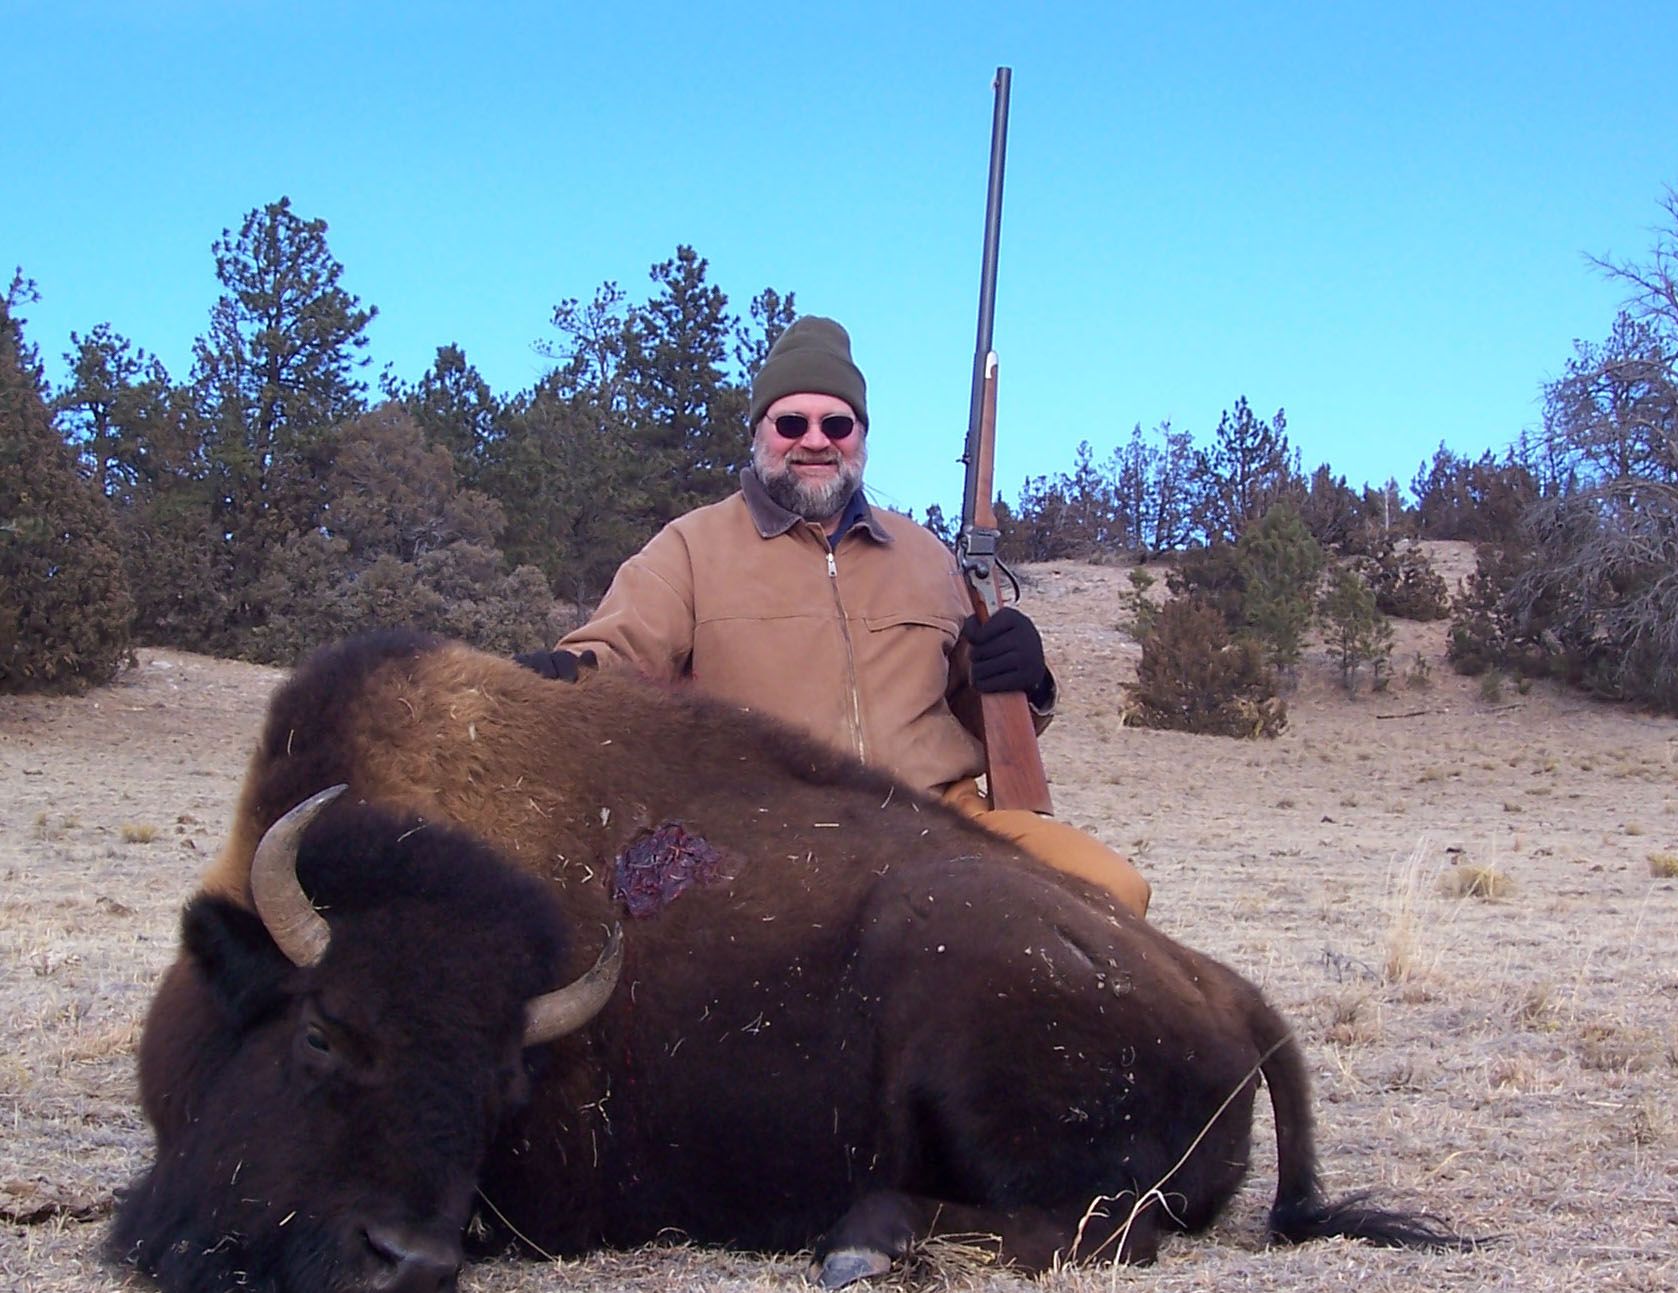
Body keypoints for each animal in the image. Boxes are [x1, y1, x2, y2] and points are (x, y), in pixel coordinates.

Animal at [114, 630, 1469, 1291]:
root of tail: (1235, 995)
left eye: (505, 1084)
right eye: (321, 1031)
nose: (408, 1265)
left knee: (1098, 1224)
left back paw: (865, 1242)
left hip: (956, 1000)